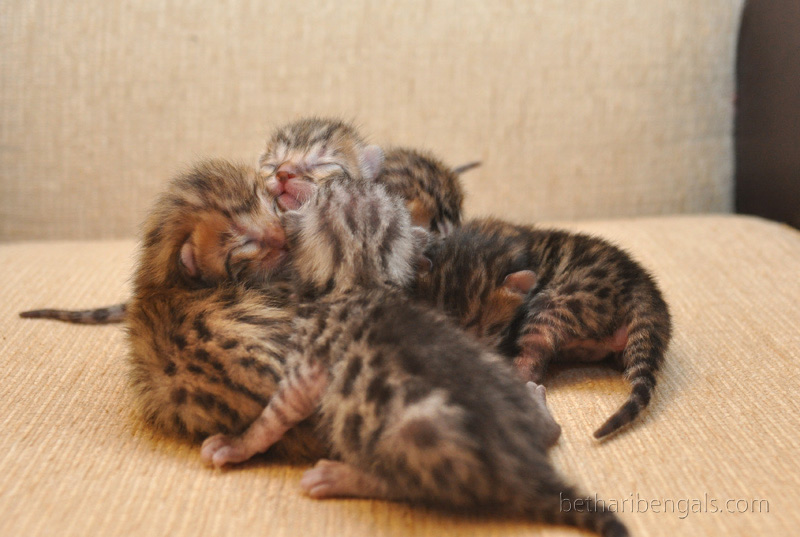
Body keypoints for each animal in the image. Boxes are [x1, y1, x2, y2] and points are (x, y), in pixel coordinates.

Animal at [198, 179, 624, 536]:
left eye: (326, 192)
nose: (338, 178)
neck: (363, 278)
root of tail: (525, 464)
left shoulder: (308, 363)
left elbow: (275, 415)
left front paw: (236, 445)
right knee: (552, 431)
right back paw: (536, 399)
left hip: (416, 434)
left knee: (409, 487)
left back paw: (338, 477)